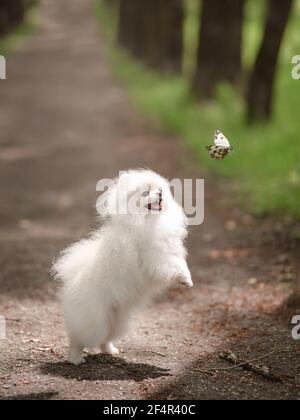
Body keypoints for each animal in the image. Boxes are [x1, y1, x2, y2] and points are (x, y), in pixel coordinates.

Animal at [52, 168, 192, 364]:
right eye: (145, 193)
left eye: (160, 189)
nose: (160, 195)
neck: (148, 220)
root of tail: (72, 279)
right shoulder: (156, 257)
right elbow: (173, 265)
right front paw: (184, 280)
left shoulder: (168, 250)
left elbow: (181, 263)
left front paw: (188, 280)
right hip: (95, 322)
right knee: (78, 338)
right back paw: (75, 358)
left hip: (118, 321)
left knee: (105, 339)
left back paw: (110, 351)